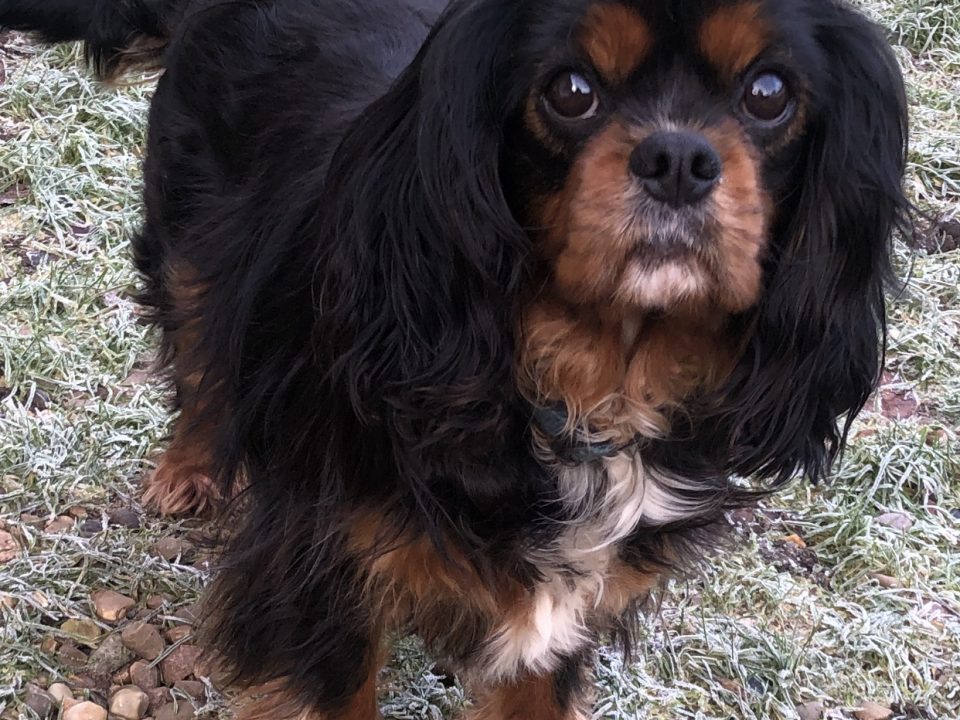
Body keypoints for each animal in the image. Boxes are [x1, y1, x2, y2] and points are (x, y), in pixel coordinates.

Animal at [1, 0, 908, 716]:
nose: (679, 158)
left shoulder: (561, 619)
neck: (586, 389)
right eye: (569, 91)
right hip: (193, 238)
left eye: (769, 94)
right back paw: (189, 470)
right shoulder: (322, 575)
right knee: (200, 351)